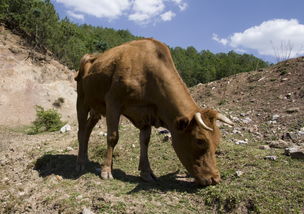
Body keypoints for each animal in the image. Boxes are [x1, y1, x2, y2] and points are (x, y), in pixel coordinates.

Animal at [74, 38, 233, 186]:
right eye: (200, 141)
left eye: (217, 141)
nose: (214, 179)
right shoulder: (113, 100)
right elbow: (113, 137)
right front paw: (106, 170)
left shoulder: (147, 113)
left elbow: (145, 141)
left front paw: (146, 173)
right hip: (82, 99)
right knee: (81, 130)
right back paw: (80, 162)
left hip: (96, 108)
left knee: (87, 129)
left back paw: (85, 157)